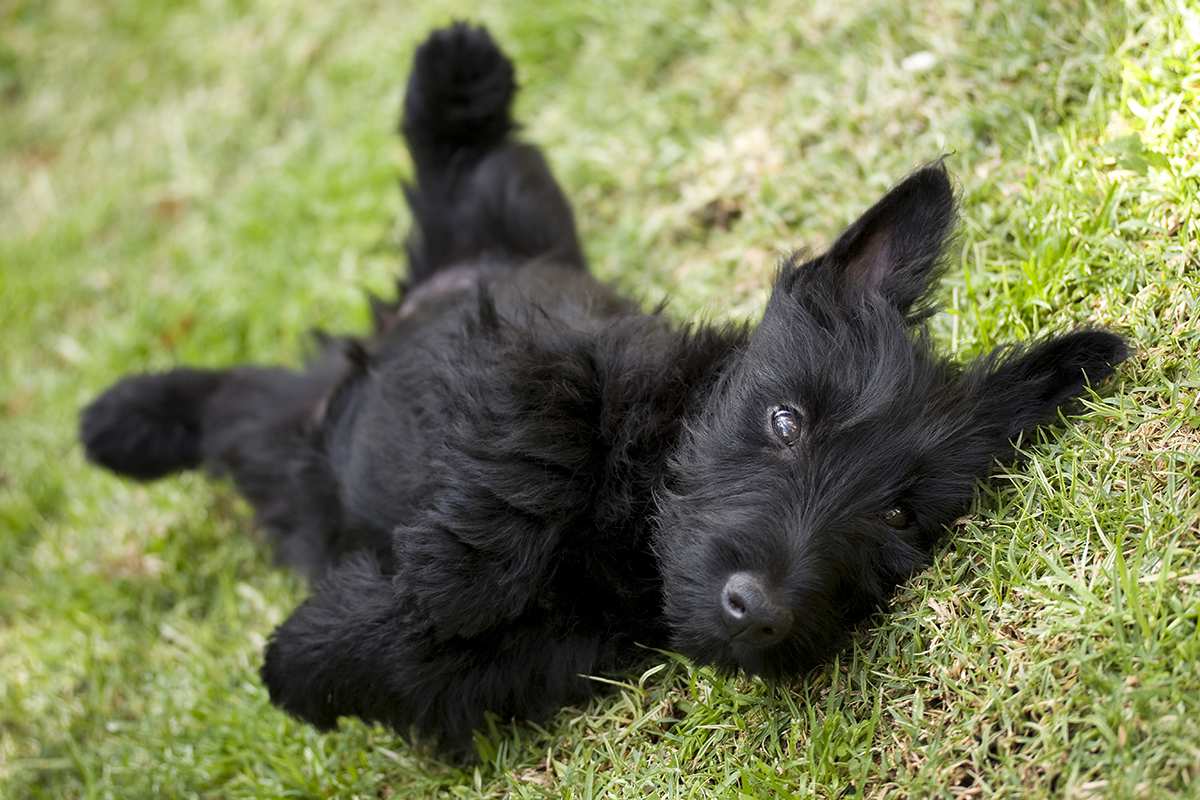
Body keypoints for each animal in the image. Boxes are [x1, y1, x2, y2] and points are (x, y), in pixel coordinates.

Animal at [79, 21, 1128, 753]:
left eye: (902, 518)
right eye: (785, 420)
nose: (760, 610)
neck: (633, 536)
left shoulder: (556, 656)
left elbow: (424, 662)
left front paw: (311, 658)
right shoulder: (532, 358)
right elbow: (536, 454)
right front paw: (425, 586)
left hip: (291, 437)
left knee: (237, 405)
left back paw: (128, 426)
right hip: (493, 242)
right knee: (466, 162)